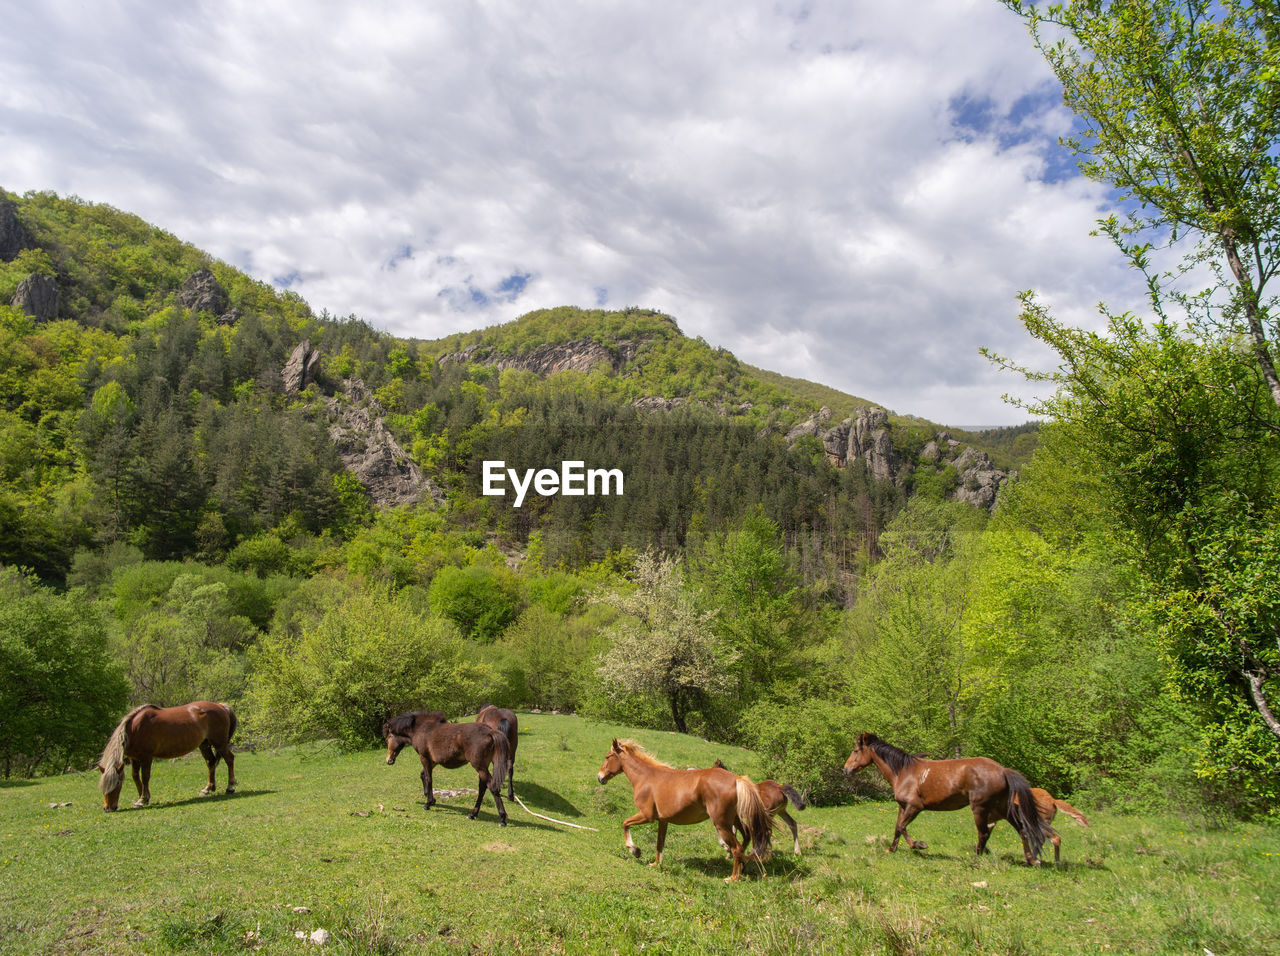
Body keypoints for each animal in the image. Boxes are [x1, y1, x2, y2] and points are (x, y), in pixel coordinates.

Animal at [94, 701, 238, 813]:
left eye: (117, 784)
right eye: (103, 786)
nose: (107, 808)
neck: (135, 729)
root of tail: (221, 706)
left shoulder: (146, 757)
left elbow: (145, 777)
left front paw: (142, 799)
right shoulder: (133, 758)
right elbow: (135, 777)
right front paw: (143, 797)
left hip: (219, 743)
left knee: (229, 759)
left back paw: (230, 787)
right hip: (204, 745)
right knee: (211, 762)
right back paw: (207, 788)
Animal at [378, 711, 509, 824]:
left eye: (388, 738)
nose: (389, 760)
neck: (421, 729)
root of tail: (490, 732)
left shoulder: (424, 757)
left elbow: (428, 779)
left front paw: (428, 803)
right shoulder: (434, 761)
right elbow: (423, 775)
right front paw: (431, 798)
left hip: (480, 766)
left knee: (492, 786)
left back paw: (502, 818)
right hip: (483, 766)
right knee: (482, 788)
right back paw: (473, 814)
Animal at [596, 742, 773, 880]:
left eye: (607, 757)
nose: (600, 777)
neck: (646, 778)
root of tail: (736, 779)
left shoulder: (647, 816)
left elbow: (625, 824)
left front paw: (635, 850)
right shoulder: (663, 821)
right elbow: (660, 843)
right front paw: (655, 864)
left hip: (722, 823)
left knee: (737, 847)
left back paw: (733, 877)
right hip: (734, 819)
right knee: (747, 837)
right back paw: (742, 866)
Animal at [839, 732, 1049, 865]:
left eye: (856, 751)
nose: (846, 769)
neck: (903, 772)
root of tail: (1003, 770)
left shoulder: (915, 807)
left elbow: (902, 827)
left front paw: (919, 845)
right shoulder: (902, 806)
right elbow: (898, 828)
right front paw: (891, 849)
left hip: (980, 808)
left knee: (984, 833)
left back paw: (976, 858)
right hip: (1002, 808)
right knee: (1021, 829)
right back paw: (1031, 860)